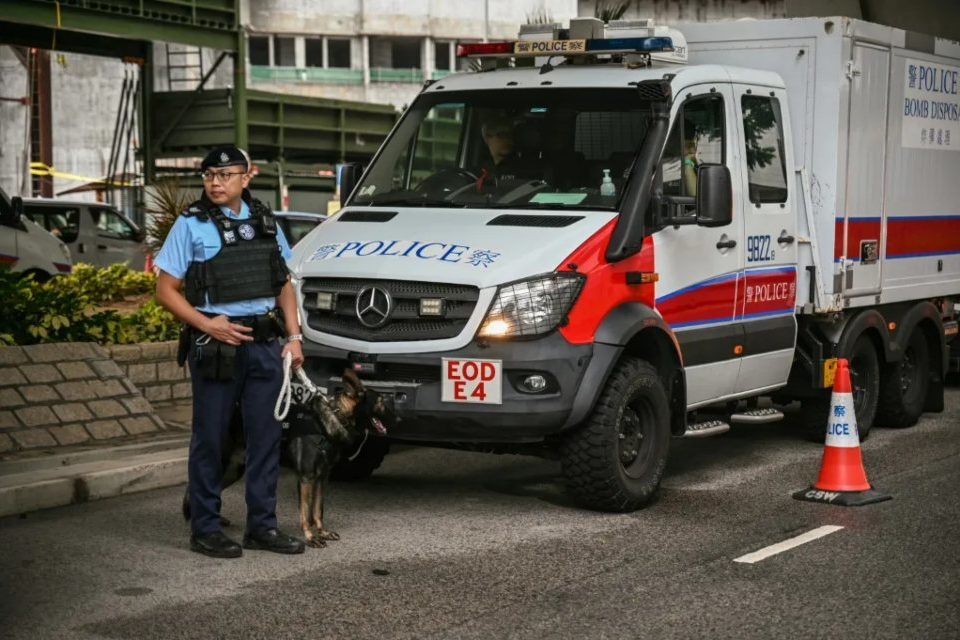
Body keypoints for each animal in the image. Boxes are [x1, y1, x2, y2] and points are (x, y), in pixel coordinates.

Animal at [182, 368, 396, 548]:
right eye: (380, 401)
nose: (396, 415)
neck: (333, 417)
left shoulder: (322, 478)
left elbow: (318, 510)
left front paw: (322, 532)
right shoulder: (306, 478)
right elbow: (305, 512)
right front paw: (310, 537)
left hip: (233, 470)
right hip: (221, 462)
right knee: (196, 486)